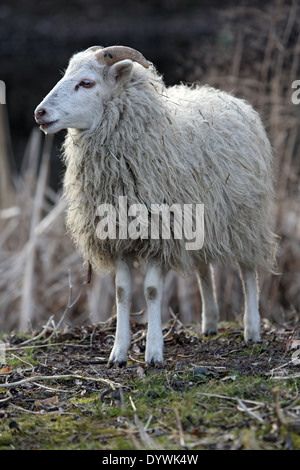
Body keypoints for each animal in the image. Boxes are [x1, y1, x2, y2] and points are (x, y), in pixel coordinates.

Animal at [34, 46, 278, 366]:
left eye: (86, 83)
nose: (40, 112)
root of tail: (230, 97)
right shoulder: (119, 236)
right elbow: (122, 292)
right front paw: (118, 352)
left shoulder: (159, 234)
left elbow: (150, 291)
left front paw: (153, 352)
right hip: (202, 218)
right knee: (204, 269)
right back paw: (210, 322)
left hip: (245, 218)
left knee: (248, 270)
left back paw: (251, 329)